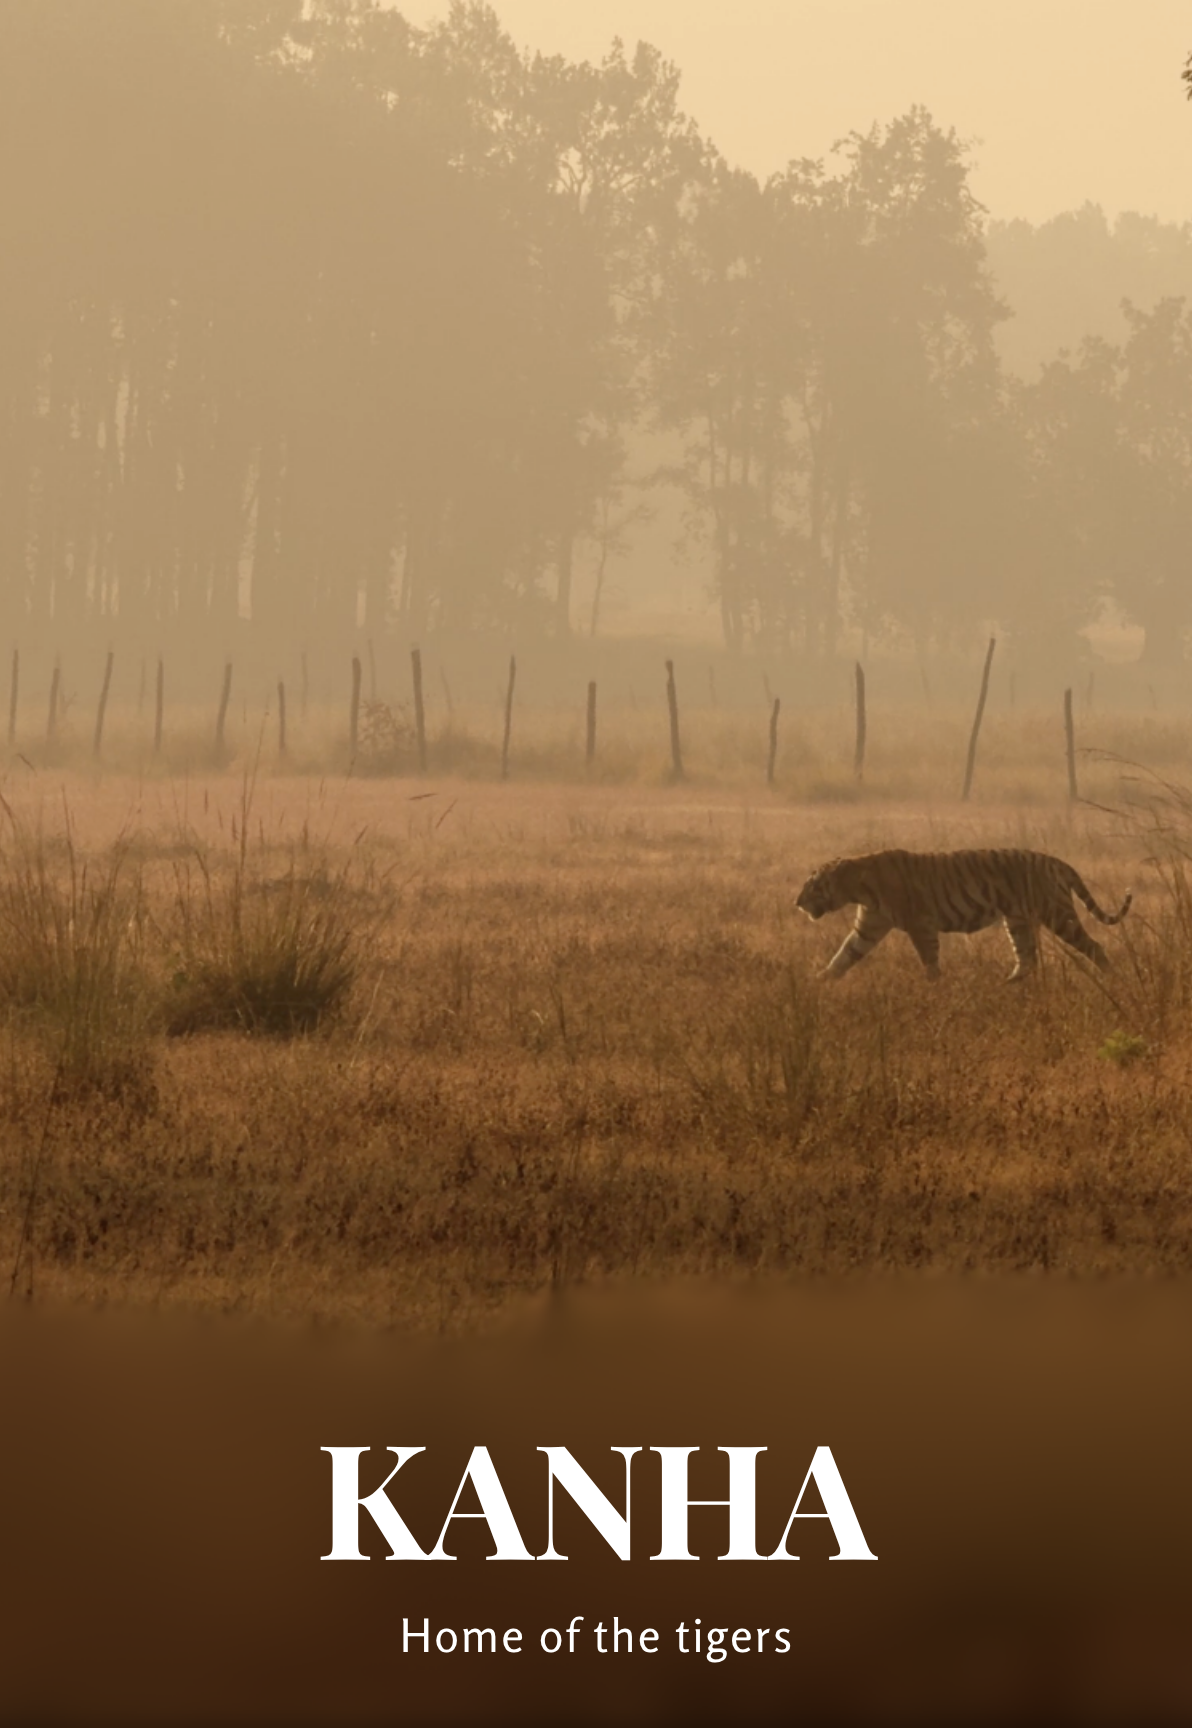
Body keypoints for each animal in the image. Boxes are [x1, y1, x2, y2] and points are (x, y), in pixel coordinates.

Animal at [795, 848, 1132, 982]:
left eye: (811, 886)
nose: (796, 902)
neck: (857, 888)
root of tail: (1057, 861)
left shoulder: (921, 926)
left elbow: (930, 961)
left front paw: (934, 987)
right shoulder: (868, 927)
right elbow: (843, 956)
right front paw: (820, 981)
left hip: (1058, 915)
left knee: (1094, 947)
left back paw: (1114, 979)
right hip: (1018, 921)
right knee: (1027, 959)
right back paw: (1004, 986)